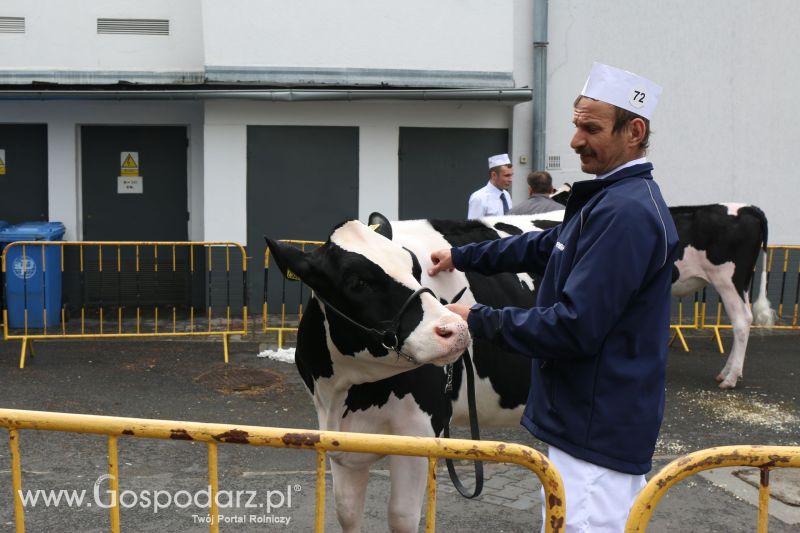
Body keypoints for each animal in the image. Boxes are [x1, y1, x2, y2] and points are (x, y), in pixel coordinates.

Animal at [266, 212, 560, 532]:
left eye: (415, 268)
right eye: (357, 282)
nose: (455, 329)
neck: (343, 395)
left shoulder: (418, 430)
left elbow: (401, 515)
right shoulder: (339, 438)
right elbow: (347, 511)